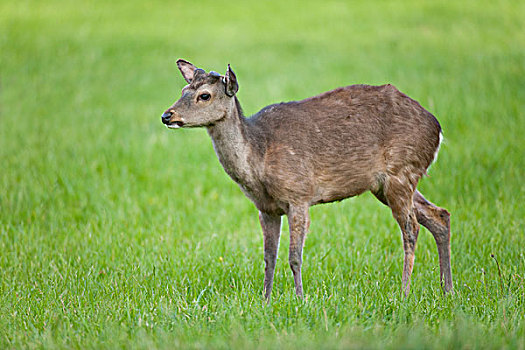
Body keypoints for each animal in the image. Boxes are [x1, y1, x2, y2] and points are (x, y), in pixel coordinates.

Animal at [160, 58, 450, 300]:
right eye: (183, 90)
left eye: (204, 95)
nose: (167, 115)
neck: (259, 159)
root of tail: (437, 128)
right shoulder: (266, 208)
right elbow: (269, 257)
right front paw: (265, 300)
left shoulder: (298, 194)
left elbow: (294, 256)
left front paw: (300, 299)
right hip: (387, 184)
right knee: (440, 215)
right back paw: (446, 289)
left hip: (401, 171)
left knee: (411, 229)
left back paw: (404, 292)